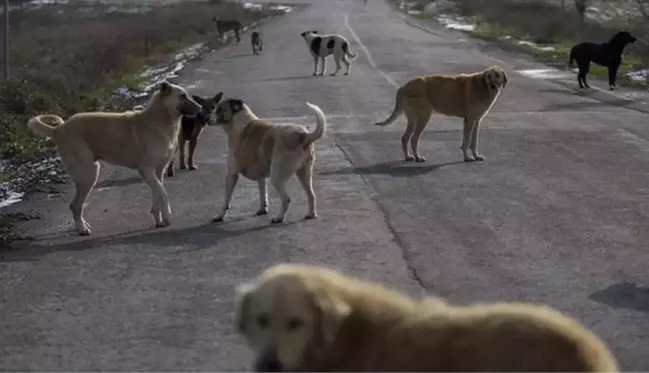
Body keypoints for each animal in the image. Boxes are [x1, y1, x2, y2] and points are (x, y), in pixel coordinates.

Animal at [26, 80, 201, 235]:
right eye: (182, 96)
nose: (200, 108)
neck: (159, 119)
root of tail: (59, 129)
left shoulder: (158, 172)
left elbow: (157, 195)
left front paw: (160, 219)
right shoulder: (146, 170)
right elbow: (163, 194)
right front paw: (168, 217)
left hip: (85, 176)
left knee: (75, 205)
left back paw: (82, 225)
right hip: (89, 174)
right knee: (75, 206)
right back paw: (82, 229)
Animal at [374, 64, 506, 163]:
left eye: (497, 75)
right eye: (488, 76)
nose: (493, 85)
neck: (482, 87)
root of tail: (404, 86)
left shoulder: (475, 121)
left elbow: (473, 142)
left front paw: (475, 155)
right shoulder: (471, 120)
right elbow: (467, 140)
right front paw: (467, 157)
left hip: (413, 119)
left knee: (405, 138)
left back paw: (408, 157)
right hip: (423, 117)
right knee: (414, 139)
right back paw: (418, 157)